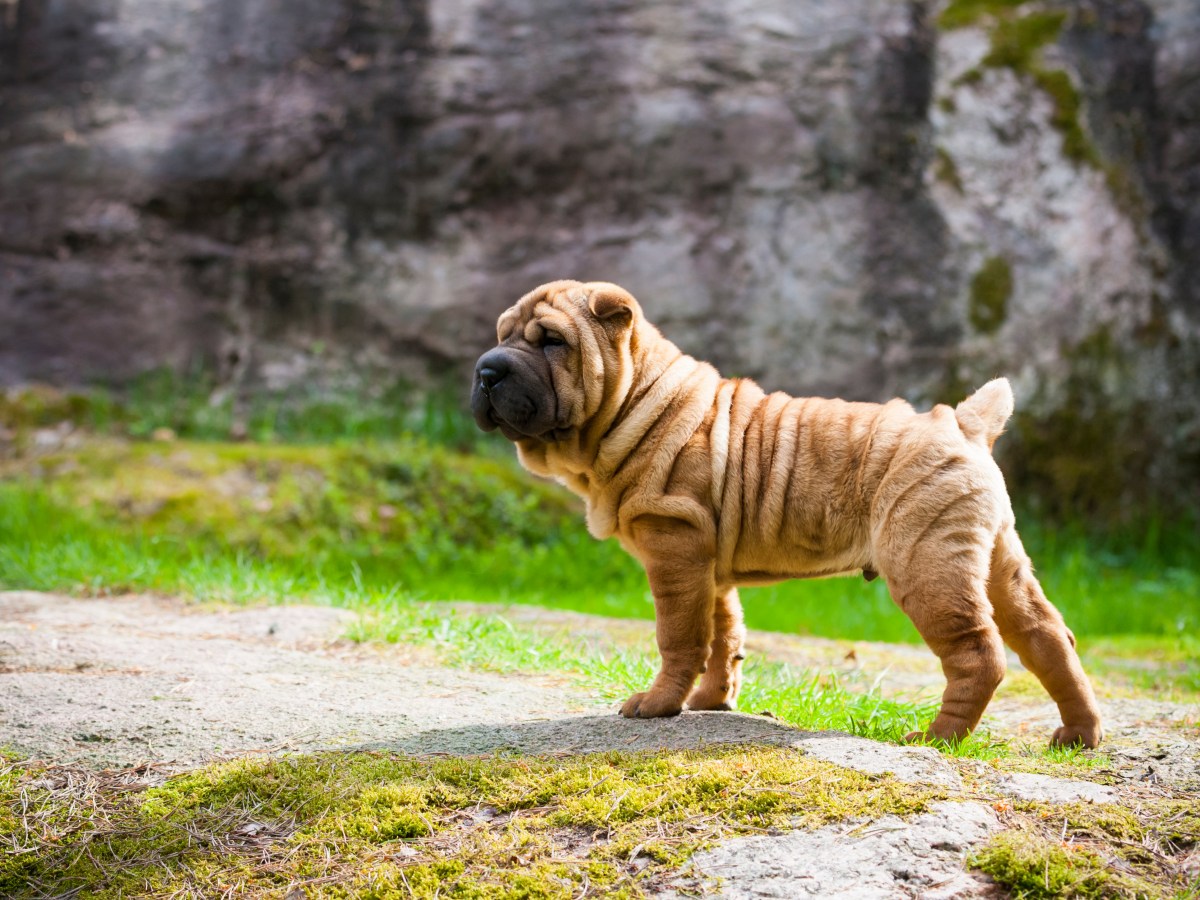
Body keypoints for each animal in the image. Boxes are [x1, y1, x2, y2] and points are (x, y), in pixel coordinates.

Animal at [468, 278, 1104, 748]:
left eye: (552, 341)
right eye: (500, 336)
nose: (486, 370)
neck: (636, 402)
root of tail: (963, 422)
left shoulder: (673, 545)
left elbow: (679, 637)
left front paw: (658, 705)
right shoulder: (707, 563)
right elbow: (723, 635)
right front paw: (712, 702)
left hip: (927, 562)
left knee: (979, 653)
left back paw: (936, 737)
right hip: (997, 557)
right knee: (1049, 637)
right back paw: (1078, 734)